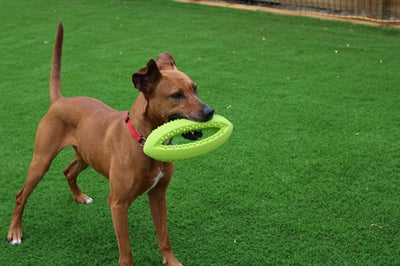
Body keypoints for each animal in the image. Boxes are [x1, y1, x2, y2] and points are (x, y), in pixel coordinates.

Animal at [7, 23, 212, 266]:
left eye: (195, 89)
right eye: (177, 95)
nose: (210, 112)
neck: (144, 142)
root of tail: (60, 100)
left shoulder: (158, 195)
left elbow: (164, 236)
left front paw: (171, 260)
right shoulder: (118, 205)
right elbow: (127, 253)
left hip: (86, 156)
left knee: (68, 171)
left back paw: (79, 196)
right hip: (41, 161)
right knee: (21, 195)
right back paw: (15, 232)